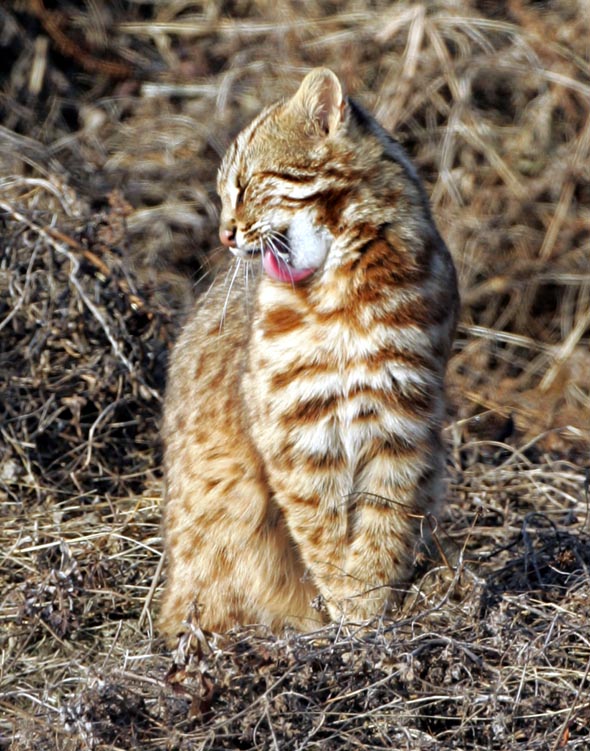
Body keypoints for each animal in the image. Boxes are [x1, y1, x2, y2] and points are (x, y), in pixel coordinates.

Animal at [158, 67, 462, 640]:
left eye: (247, 185)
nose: (224, 235)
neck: (340, 293)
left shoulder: (402, 418)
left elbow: (384, 521)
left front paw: (366, 612)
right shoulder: (295, 431)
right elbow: (321, 527)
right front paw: (349, 608)